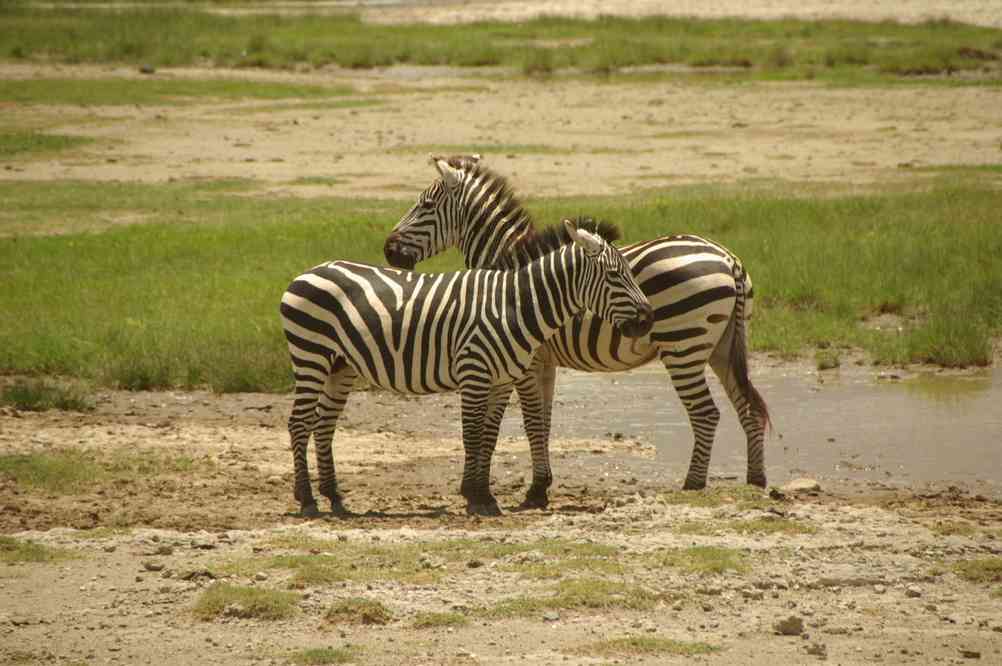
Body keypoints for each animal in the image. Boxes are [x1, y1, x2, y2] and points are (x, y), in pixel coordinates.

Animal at [278, 217, 653, 512]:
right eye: (615, 275)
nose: (648, 319)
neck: (513, 305)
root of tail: (308, 272)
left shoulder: (501, 379)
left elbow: (489, 433)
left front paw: (484, 494)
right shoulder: (474, 371)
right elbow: (472, 433)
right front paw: (474, 496)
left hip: (341, 366)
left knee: (324, 424)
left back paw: (334, 496)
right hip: (311, 355)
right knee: (299, 422)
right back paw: (307, 499)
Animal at [380, 154, 765, 508]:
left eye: (425, 205)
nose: (387, 250)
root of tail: (728, 259)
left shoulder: (521, 361)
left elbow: (515, 422)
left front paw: (522, 490)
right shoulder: (538, 361)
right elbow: (542, 421)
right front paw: (537, 485)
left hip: (683, 346)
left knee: (707, 413)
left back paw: (693, 485)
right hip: (723, 347)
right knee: (750, 407)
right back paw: (756, 481)